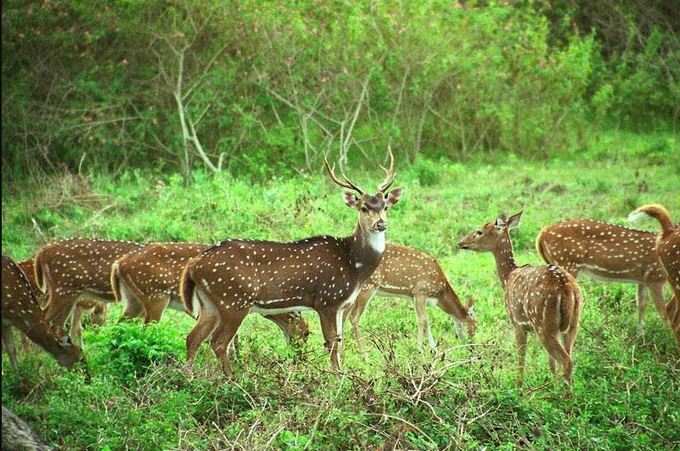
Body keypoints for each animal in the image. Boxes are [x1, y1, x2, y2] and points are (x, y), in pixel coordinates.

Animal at [112, 244, 310, 342]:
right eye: (306, 334)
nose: (299, 357)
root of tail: (119, 264)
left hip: (133, 300)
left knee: (119, 324)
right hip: (156, 296)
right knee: (146, 328)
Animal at [182, 151, 404, 374]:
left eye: (385, 206)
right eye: (364, 207)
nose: (381, 224)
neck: (354, 266)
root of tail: (193, 265)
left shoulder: (343, 304)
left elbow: (340, 345)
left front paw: (342, 375)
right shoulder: (327, 300)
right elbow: (332, 345)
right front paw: (336, 377)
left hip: (210, 303)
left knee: (193, 338)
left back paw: (190, 376)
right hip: (233, 300)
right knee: (219, 342)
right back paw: (231, 378)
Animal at [460, 212, 580, 384]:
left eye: (479, 231)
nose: (461, 242)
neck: (508, 276)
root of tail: (566, 288)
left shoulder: (517, 323)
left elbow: (520, 359)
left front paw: (519, 386)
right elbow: (551, 365)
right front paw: (551, 382)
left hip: (543, 324)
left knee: (566, 360)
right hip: (573, 323)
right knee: (567, 357)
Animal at [532, 219, 668, 332]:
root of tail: (541, 235)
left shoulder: (643, 280)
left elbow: (642, 303)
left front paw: (640, 334)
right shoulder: (656, 277)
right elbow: (663, 310)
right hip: (566, 263)